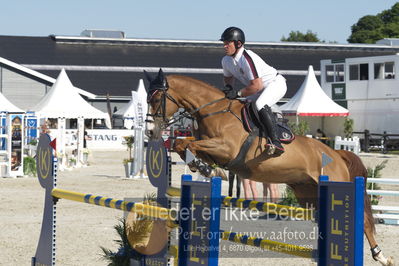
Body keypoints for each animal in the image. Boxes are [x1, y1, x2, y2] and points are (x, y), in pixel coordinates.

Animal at [145, 69, 394, 264]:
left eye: (156, 100)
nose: (150, 131)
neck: (214, 111)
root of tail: (336, 153)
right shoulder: (212, 149)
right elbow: (182, 145)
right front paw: (206, 168)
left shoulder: (226, 148)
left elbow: (185, 143)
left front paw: (207, 168)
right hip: (308, 193)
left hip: (335, 182)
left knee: (363, 221)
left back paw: (380, 256)